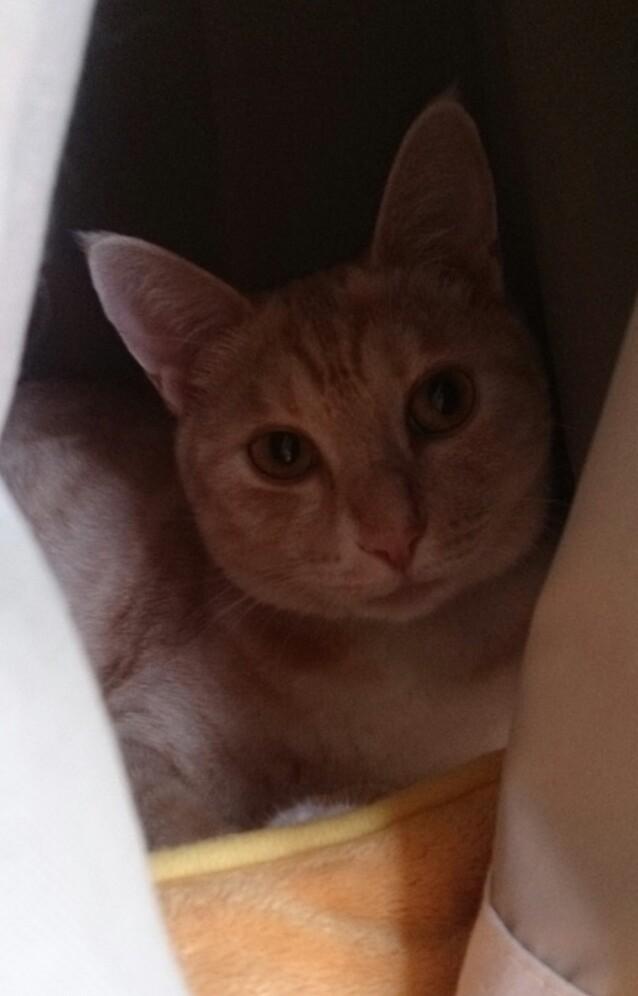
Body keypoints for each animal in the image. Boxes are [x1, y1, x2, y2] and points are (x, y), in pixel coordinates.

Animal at [0, 97, 552, 848]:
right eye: (282, 454)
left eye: (444, 401)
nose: (393, 534)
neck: (409, 670)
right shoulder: (136, 736)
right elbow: (198, 835)